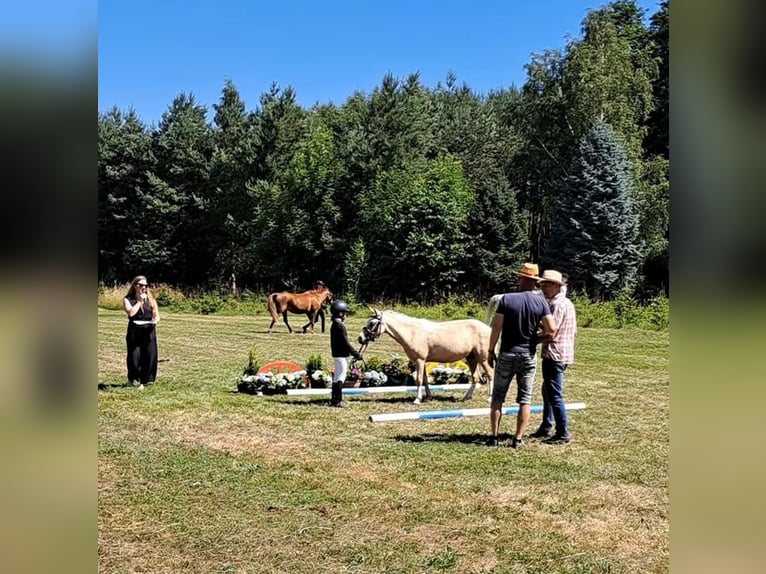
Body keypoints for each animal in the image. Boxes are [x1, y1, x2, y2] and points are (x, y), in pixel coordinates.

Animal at [358, 310, 496, 404]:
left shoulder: (419, 360)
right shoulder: (422, 362)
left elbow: (419, 380)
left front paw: (417, 399)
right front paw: (428, 397)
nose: (360, 338)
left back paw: (489, 398)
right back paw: (466, 397)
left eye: (372, 323)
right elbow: (424, 380)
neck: (412, 332)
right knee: (475, 378)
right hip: (472, 358)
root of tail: (488, 328)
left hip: (483, 359)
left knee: (490, 374)